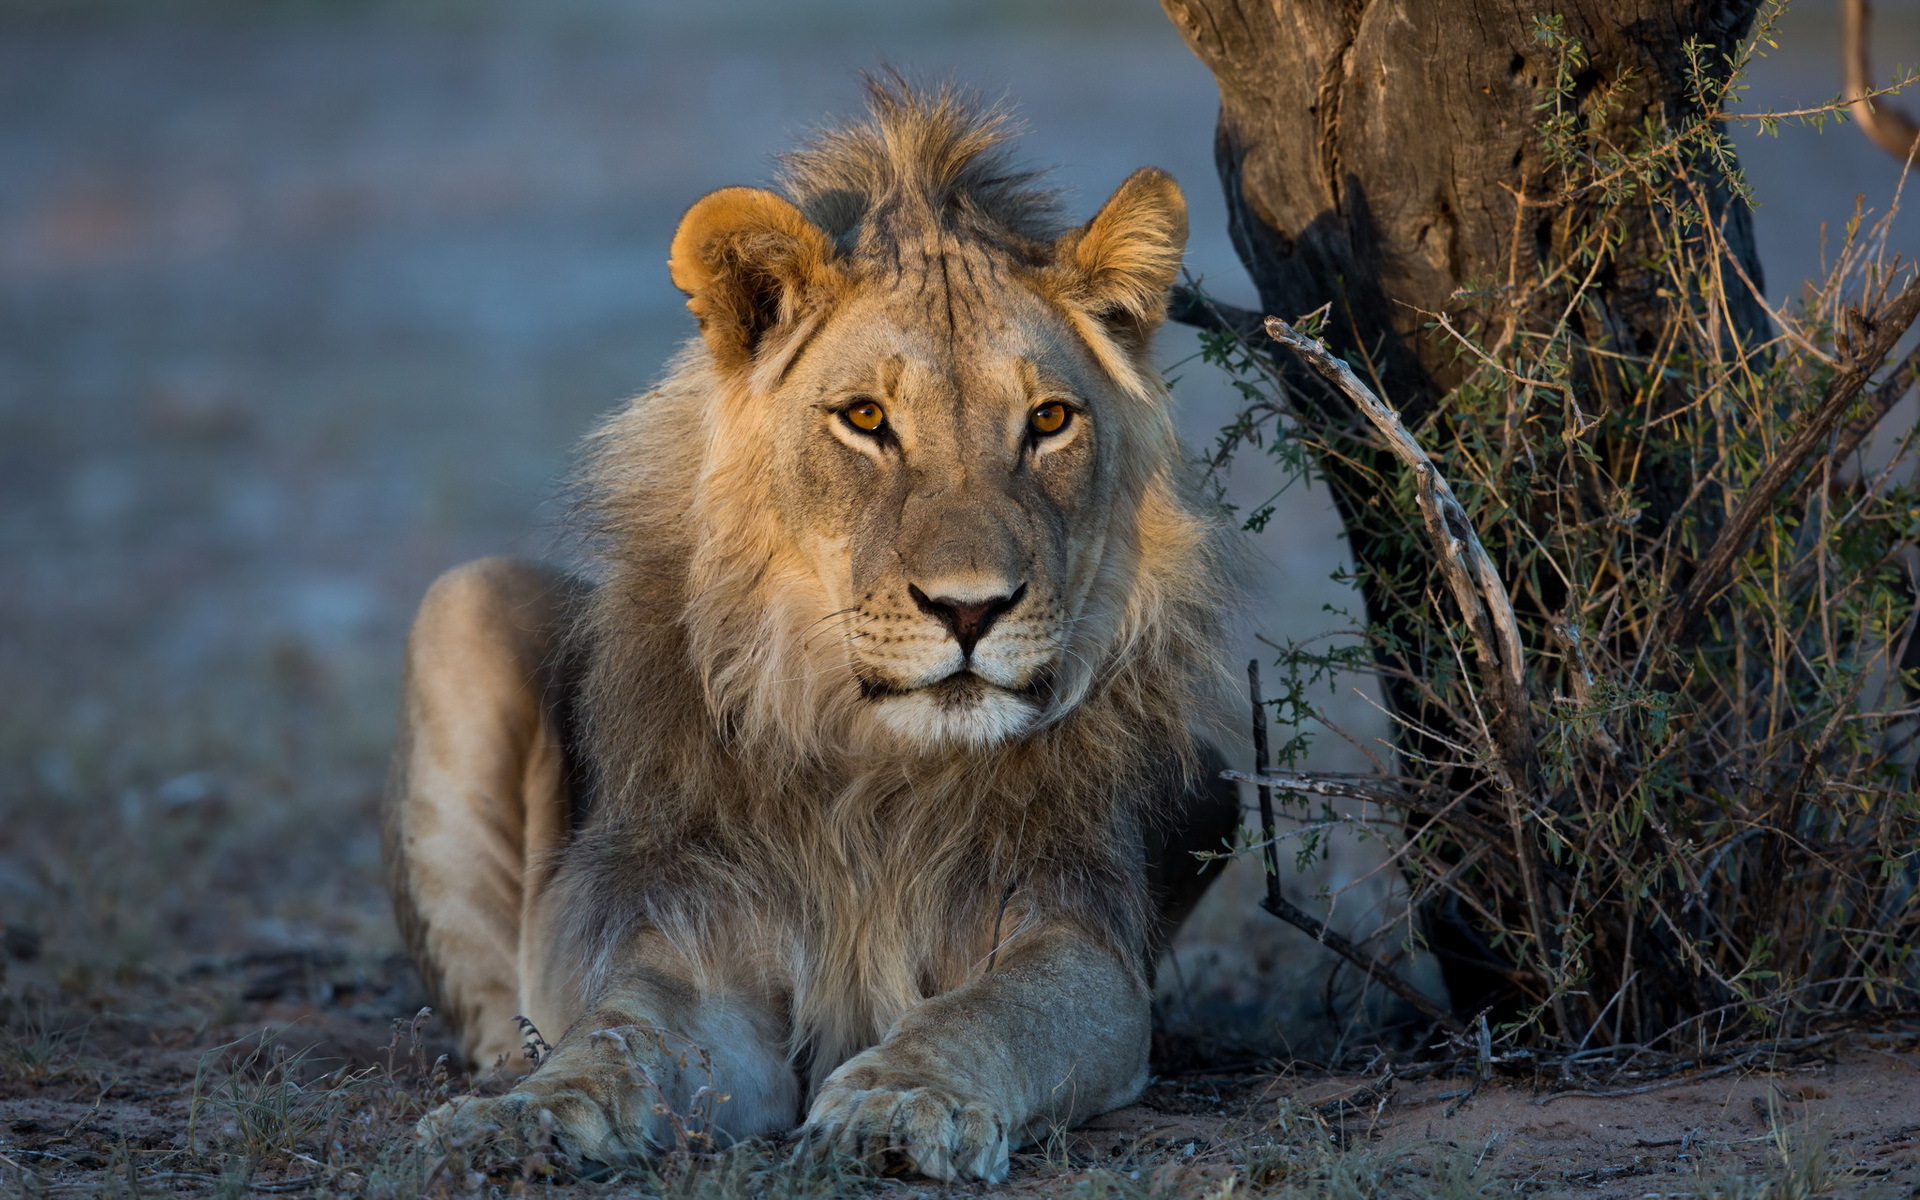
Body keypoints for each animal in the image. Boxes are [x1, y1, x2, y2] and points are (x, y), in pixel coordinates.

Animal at [380, 82, 1236, 1182]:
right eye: (865, 419)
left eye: (1049, 420)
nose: (971, 608)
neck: (874, 772)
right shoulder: (700, 945)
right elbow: (618, 1036)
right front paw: (520, 1118)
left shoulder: (1080, 935)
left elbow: (993, 1014)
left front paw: (903, 1098)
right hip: (465, 597)